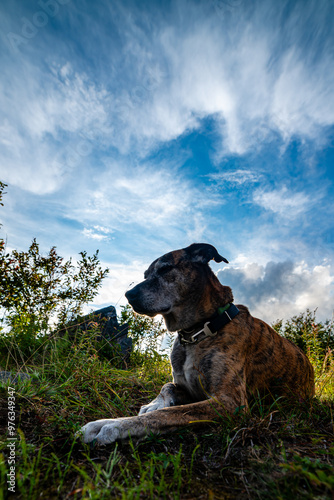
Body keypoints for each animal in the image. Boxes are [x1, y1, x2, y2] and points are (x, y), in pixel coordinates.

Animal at [78, 244, 316, 444]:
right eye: (145, 274)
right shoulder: (189, 388)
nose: (129, 294)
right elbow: (167, 386)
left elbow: (167, 414)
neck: (198, 331)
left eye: (165, 269)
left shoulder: (230, 402)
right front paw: (153, 403)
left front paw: (114, 425)